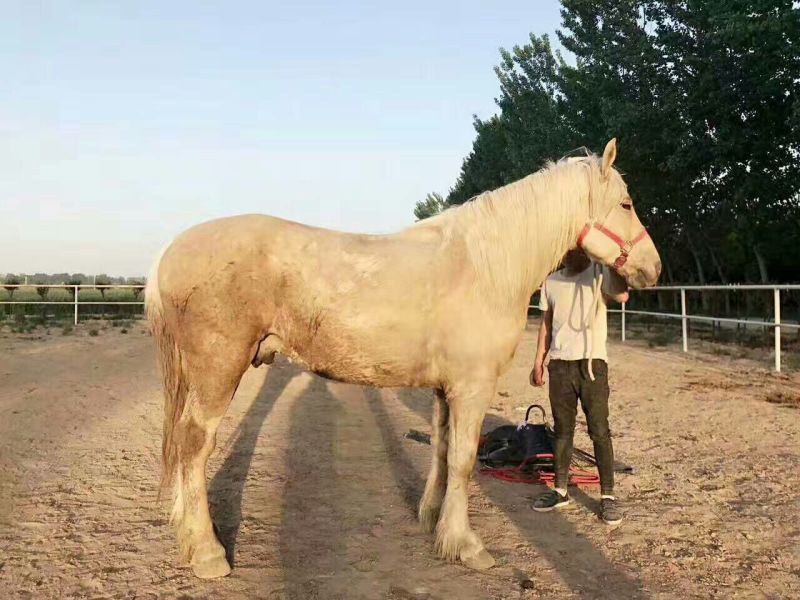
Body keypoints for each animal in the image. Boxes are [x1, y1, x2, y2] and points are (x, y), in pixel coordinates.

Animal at [145, 138, 661, 578]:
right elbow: (464, 462)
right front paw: (466, 545)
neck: (482, 268)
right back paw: (208, 553)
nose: (652, 268)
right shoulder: (472, 387)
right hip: (217, 372)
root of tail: (169, 255)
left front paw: (432, 520)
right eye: (626, 204)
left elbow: (442, 449)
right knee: (195, 446)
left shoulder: (445, 389)